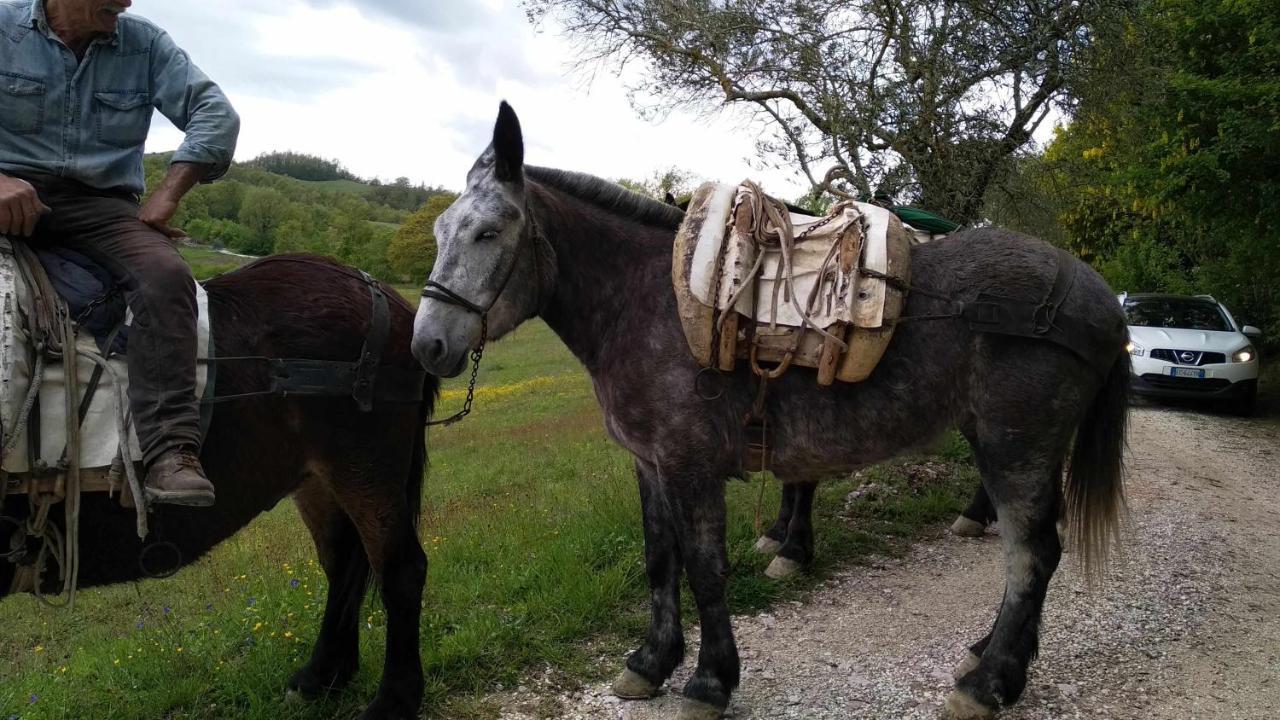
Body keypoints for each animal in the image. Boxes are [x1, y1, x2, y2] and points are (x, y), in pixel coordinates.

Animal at [1, 253, 435, 717]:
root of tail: (382, 293)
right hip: (319, 480)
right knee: (342, 564)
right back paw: (321, 675)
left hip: (366, 470)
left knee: (401, 571)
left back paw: (394, 699)